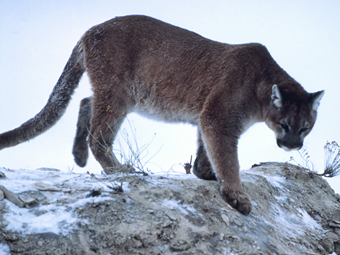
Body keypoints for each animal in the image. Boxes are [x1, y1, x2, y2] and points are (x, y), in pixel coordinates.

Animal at [0, 15, 324, 215]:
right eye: (285, 125)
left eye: (305, 128)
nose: (293, 146)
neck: (260, 88)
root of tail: (91, 29)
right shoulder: (219, 118)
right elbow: (228, 159)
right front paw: (237, 195)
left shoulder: (208, 117)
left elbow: (207, 149)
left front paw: (205, 172)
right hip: (118, 93)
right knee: (99, 135)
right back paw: (121, 169)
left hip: (119, 94)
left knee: (85, 101)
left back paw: (79, 156)